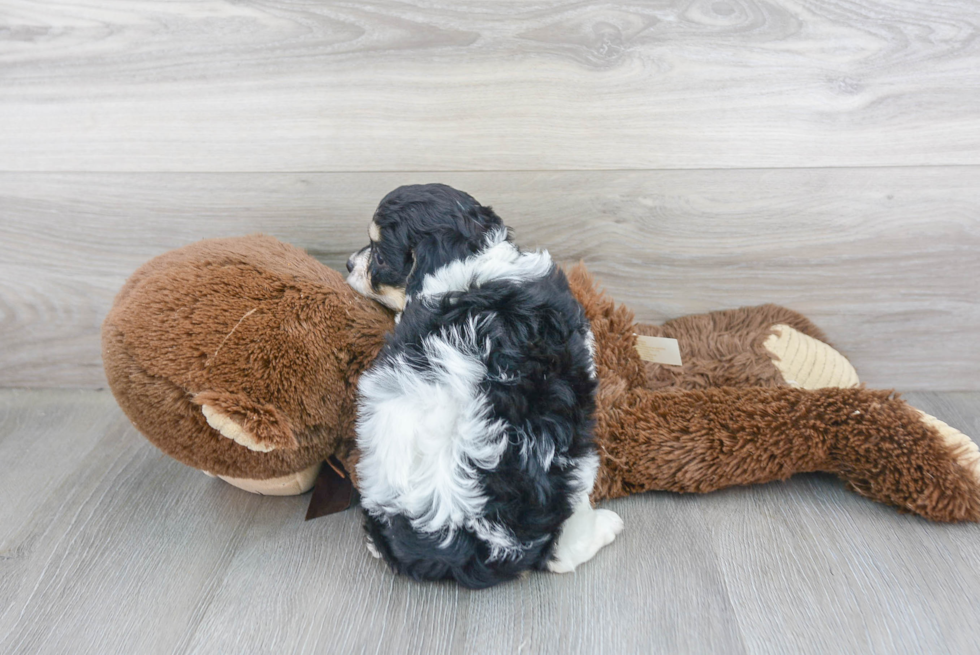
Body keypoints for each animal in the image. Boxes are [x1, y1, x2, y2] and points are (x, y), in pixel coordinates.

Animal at [346, 184, 620, 588]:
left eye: (379, 255)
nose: (349, 264)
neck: (470, 256)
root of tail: (451, 524)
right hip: (573, 463)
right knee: (563, 550)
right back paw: (606, 526)